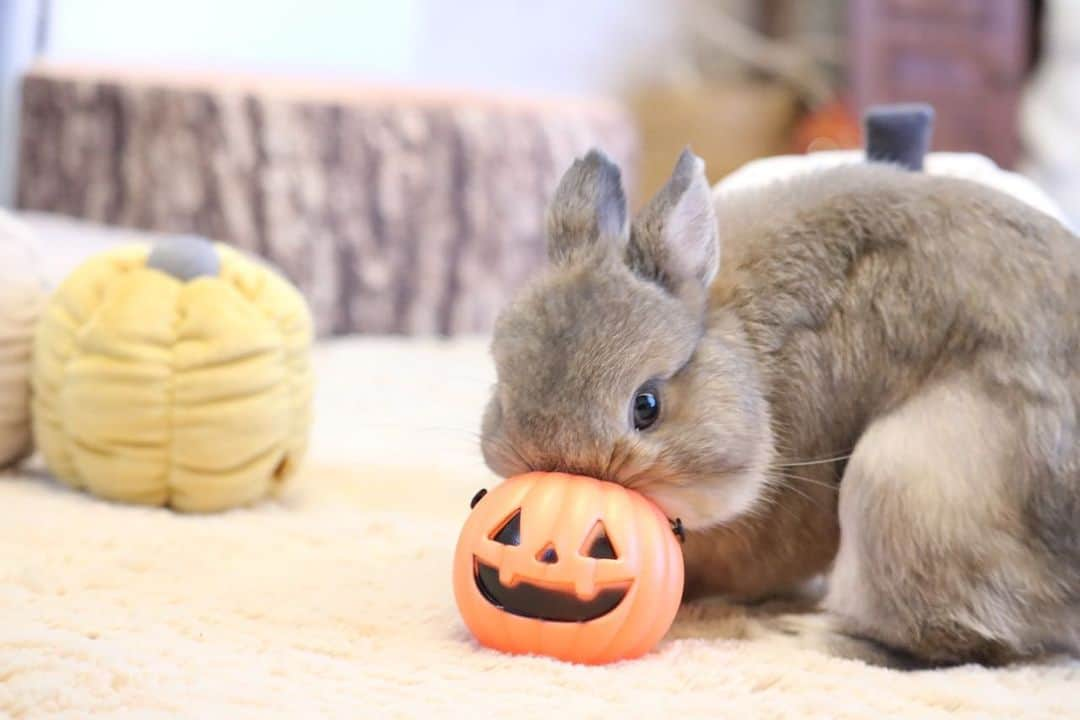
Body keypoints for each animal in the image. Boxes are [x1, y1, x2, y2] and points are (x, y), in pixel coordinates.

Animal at [481, 120, 1080, 669]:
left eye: (646, 406)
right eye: (504, 392)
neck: (746, 355)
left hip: (900, 482)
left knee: (951, 641)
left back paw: (793, 634)